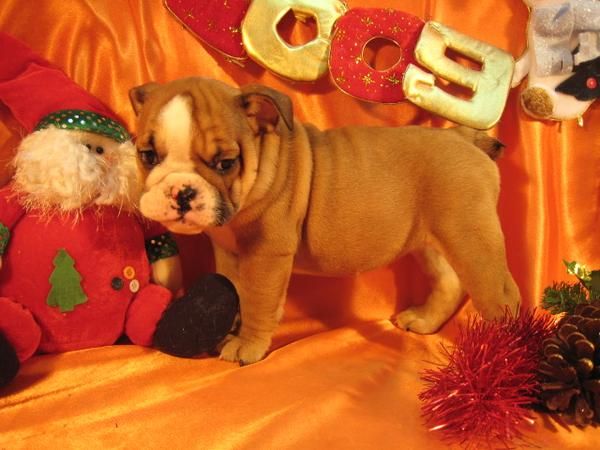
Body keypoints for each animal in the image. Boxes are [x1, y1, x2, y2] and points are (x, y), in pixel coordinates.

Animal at [130, 77, 520, 366]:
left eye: (225, 163)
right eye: (147, 155)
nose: (182, 192)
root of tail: (461, 136)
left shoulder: (265, 253)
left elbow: (257, 300)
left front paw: (247, 345)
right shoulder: (230, 254)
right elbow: (234, 292)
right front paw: (230, 329)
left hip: (471, 240)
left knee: (502, 296)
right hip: (432, 241)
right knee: (449, 282)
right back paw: (424, 321)